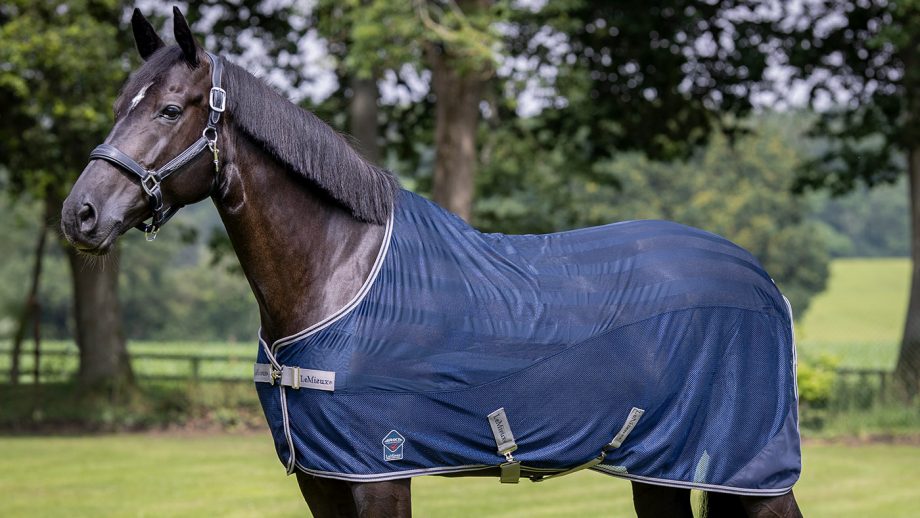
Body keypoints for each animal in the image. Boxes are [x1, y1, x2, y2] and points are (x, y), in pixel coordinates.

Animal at [60, 8, 803, 518]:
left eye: (169, 110)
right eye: (119, 105)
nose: (80, 215)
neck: (338, 274)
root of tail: (765, 282)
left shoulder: (378, 471)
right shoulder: (324, 479)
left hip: (750, 474)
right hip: (662, 470)